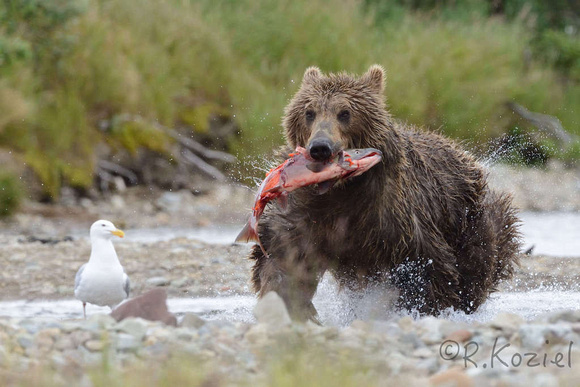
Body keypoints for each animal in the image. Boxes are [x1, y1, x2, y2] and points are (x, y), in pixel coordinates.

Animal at [248, 66, 520, 322]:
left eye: (345, 112)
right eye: (309, 112)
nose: (320, 147)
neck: (341, 189)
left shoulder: (395, 215)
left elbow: (428, 268)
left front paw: (421, 309)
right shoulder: (306, 212)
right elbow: (284, 256)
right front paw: (289, 305)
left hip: (468, 218)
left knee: (479, 261)